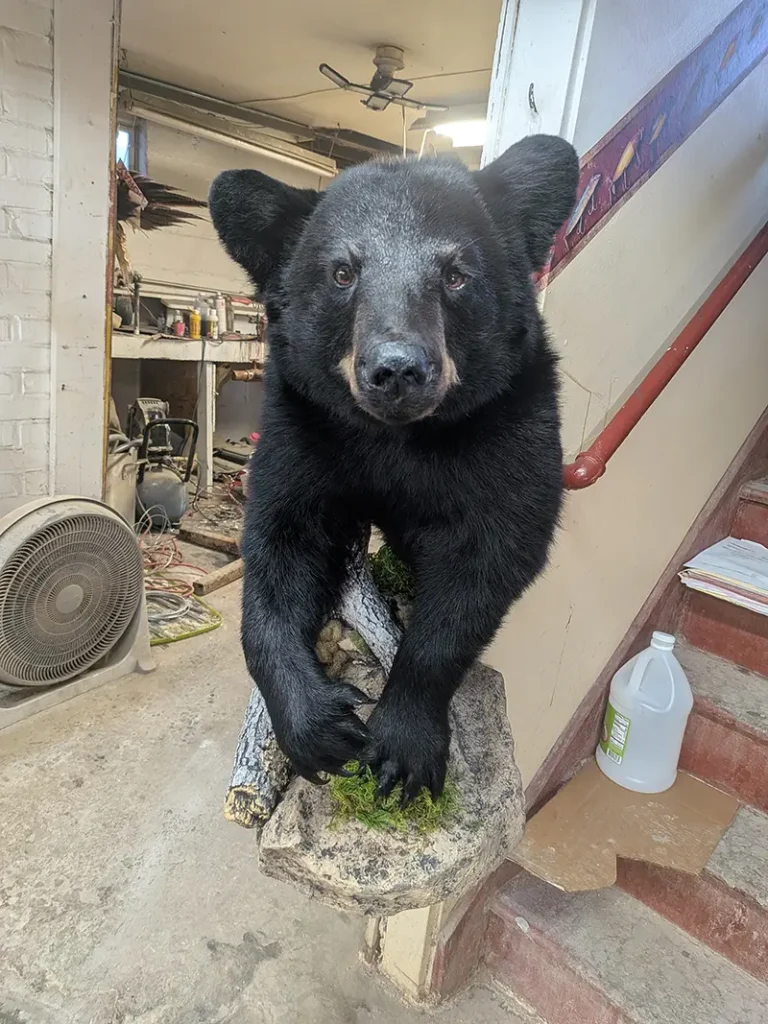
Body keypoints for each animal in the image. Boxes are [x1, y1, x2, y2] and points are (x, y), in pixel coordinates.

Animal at [209, 135, 578, 804]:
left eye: (455, 274)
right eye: (342, 272)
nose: (398, 369)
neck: (395, 439)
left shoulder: (514, 429)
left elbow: (488, 559)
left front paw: (403, 745)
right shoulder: (302, 429)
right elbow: (279, 541)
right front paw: (315, 726)